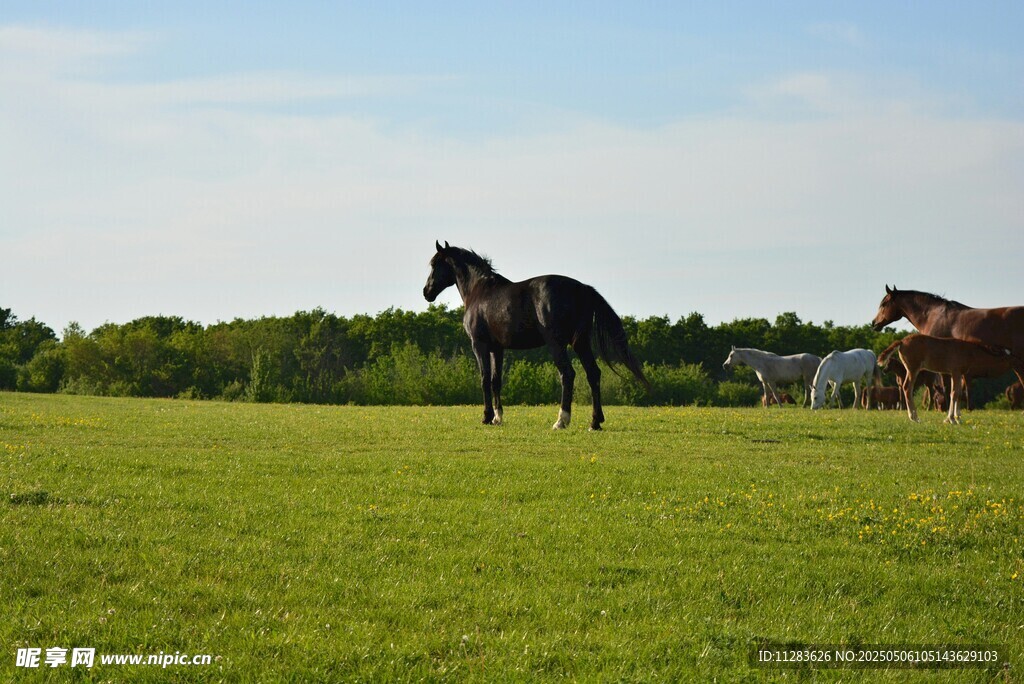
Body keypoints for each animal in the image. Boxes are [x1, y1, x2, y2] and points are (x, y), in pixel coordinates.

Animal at [423, 241, 649, 430]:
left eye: (434, 264)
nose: (426, 292)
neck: (480, 291)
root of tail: (583, 289)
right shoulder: (498, 348)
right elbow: (496, 380)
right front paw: (498, 418)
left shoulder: (479, 345)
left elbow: (484, 378)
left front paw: (486, 417)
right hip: (580, 342)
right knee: (593, 374)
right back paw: (595, 422)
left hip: (557, 343)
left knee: (567, 374)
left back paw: (561, 421)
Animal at [877, 334, 1024, 424]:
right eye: (1008, 355)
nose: (1018, 360)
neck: (970, 351)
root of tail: (902, 341)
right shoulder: (956, 372)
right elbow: (954, 393)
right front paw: (952, 419)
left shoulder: (956, 374)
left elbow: (957, 394)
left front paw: (954, 418)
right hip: (913, 369)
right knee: (907, 388)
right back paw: (914, 417)